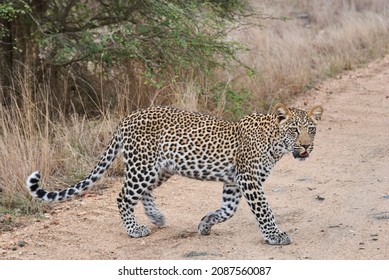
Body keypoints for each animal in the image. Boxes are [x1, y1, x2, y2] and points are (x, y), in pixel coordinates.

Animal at [24, 103, 322, 245]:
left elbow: (227, 210)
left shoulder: (233, 182)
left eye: (312, 129)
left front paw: (205, 224)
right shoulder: (249, 181)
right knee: (123, 197)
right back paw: (134, 229)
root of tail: (126, 119)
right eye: (294, 130)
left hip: (159, 168)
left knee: (142, 192)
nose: (307, 146)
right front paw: (275, 236)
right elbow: (264, 211)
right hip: (142, 166)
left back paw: (157, 216)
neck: (274, 143)